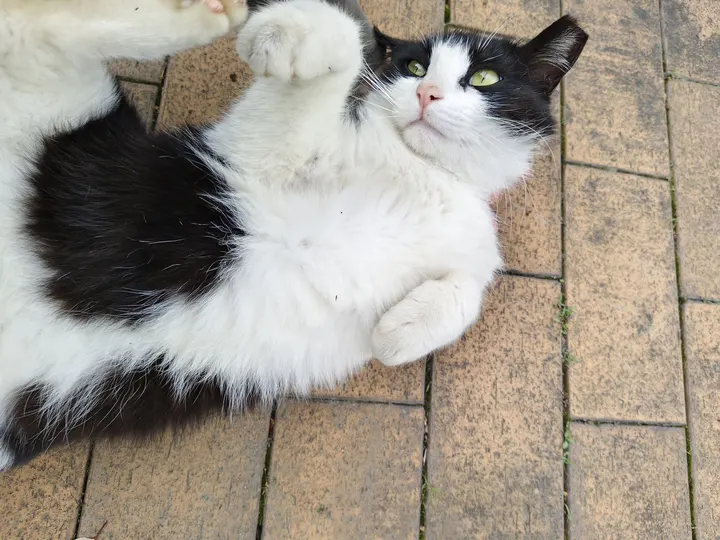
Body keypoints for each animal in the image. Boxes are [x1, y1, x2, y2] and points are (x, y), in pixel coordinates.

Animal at [0, 0, 587, 470]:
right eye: (415, 67)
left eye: (484, 79)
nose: (427, 93)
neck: (427, 173)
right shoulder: (254, 152)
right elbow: (342, 35)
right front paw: (290, 33)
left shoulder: (471, 248)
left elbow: (470, 287)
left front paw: (399, 332)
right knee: (31, 30)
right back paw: (195, 18)